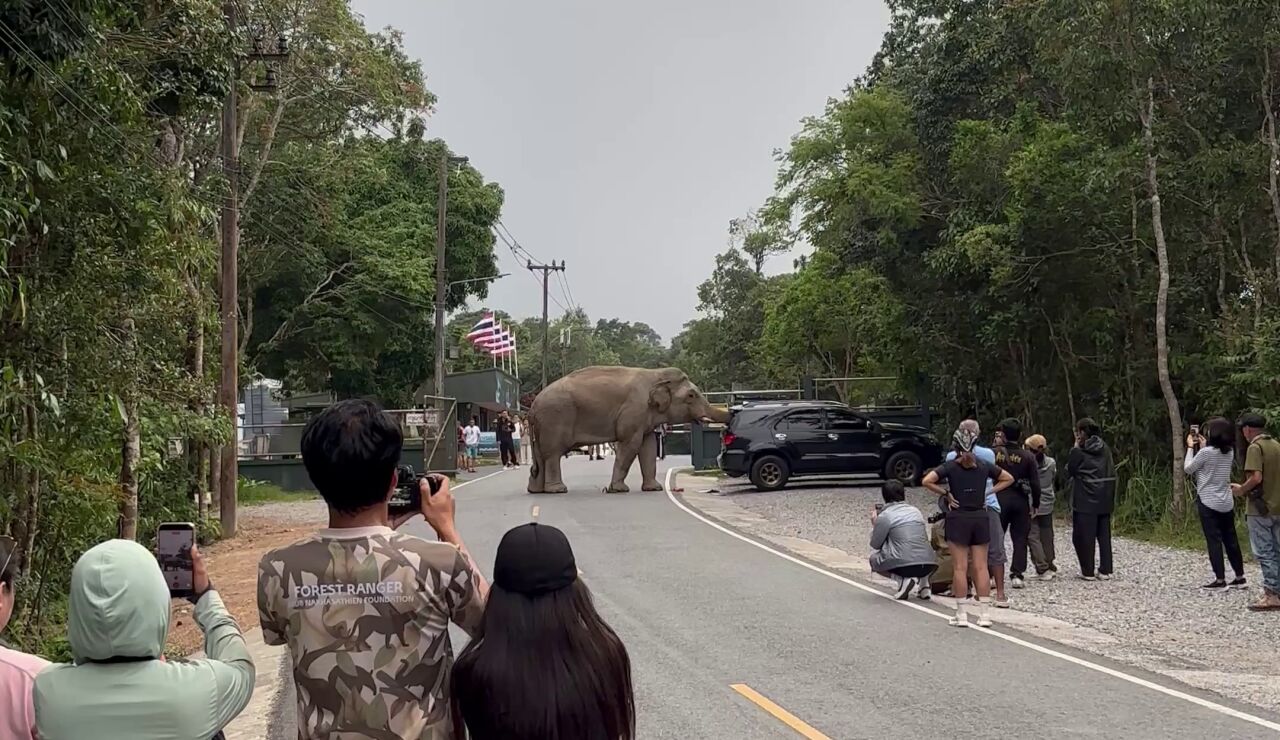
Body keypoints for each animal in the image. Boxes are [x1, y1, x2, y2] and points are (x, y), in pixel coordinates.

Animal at [526, 366, 730, 493]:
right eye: (691, 395)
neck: (655, 375)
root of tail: (533, 407)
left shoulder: (645, 418)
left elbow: (648, 447)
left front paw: (654, 488)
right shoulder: (634, 411)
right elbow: (630, 445)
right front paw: (618, 489)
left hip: (542, 426)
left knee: (541, 458)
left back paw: (536, 491)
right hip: (555, 419)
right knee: (553, 455)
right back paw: (558, 490)